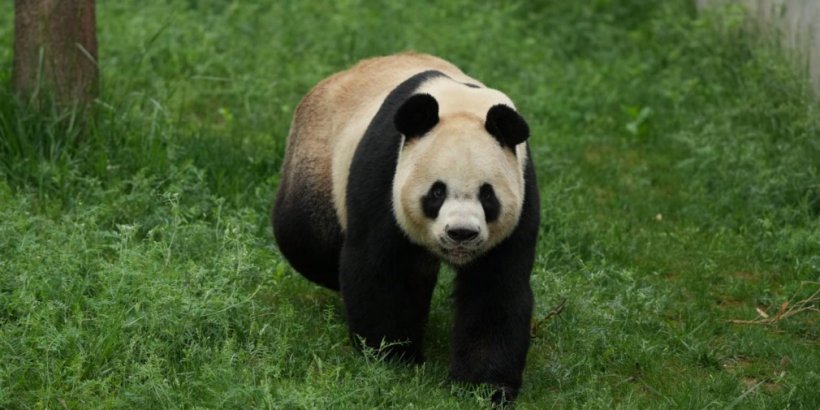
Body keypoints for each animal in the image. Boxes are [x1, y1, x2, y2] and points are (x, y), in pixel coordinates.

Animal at [273, 52, 540, 402]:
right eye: (437, 192)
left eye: (487, 195)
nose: (461, 234)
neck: (462, 105)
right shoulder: (386, 174)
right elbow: (383, 270)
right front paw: (394, 356)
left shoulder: (521, 193)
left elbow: (496, 289)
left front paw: (483, 386)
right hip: (319, 159)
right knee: (307, 238)